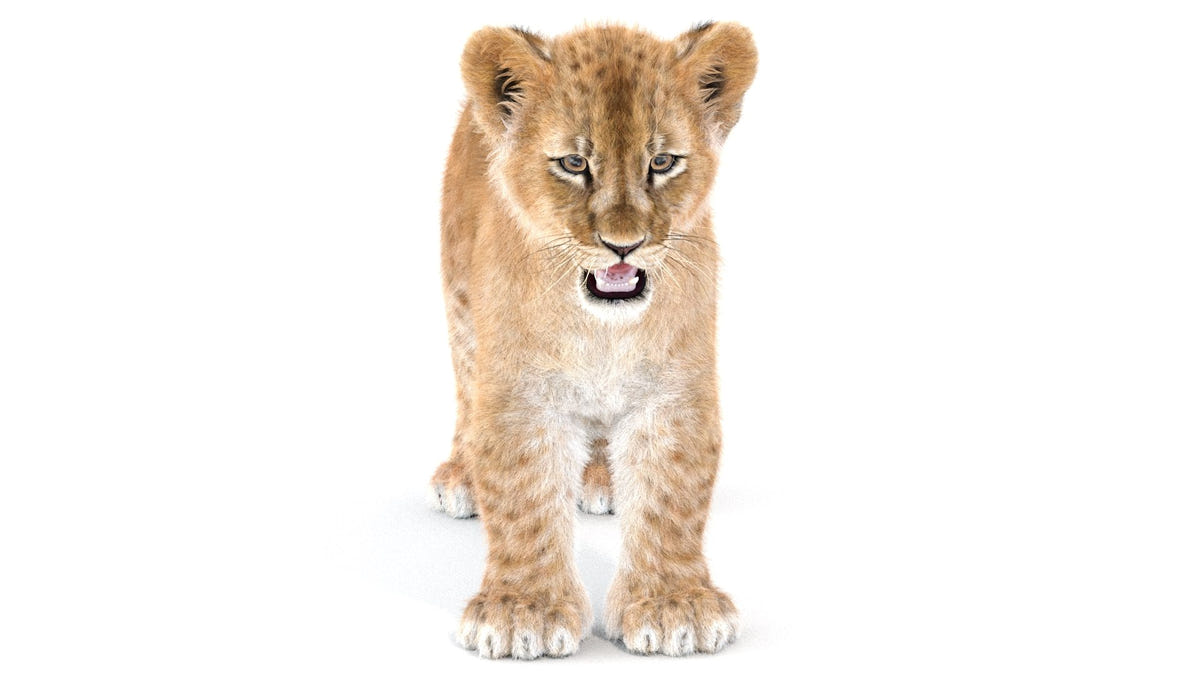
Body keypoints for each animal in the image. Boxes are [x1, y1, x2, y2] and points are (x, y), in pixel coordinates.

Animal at [427, 22, 757, 659]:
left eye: (662, 161)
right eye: (574, 162)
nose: (622, 244)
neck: (603, 328)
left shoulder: (674, 390)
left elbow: (672, 495)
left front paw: (675, 606)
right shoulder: (520, 393)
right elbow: (524, 494)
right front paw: (523, 613)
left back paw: (602, 479)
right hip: (460, 305)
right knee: (464, 388)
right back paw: (463, 478)